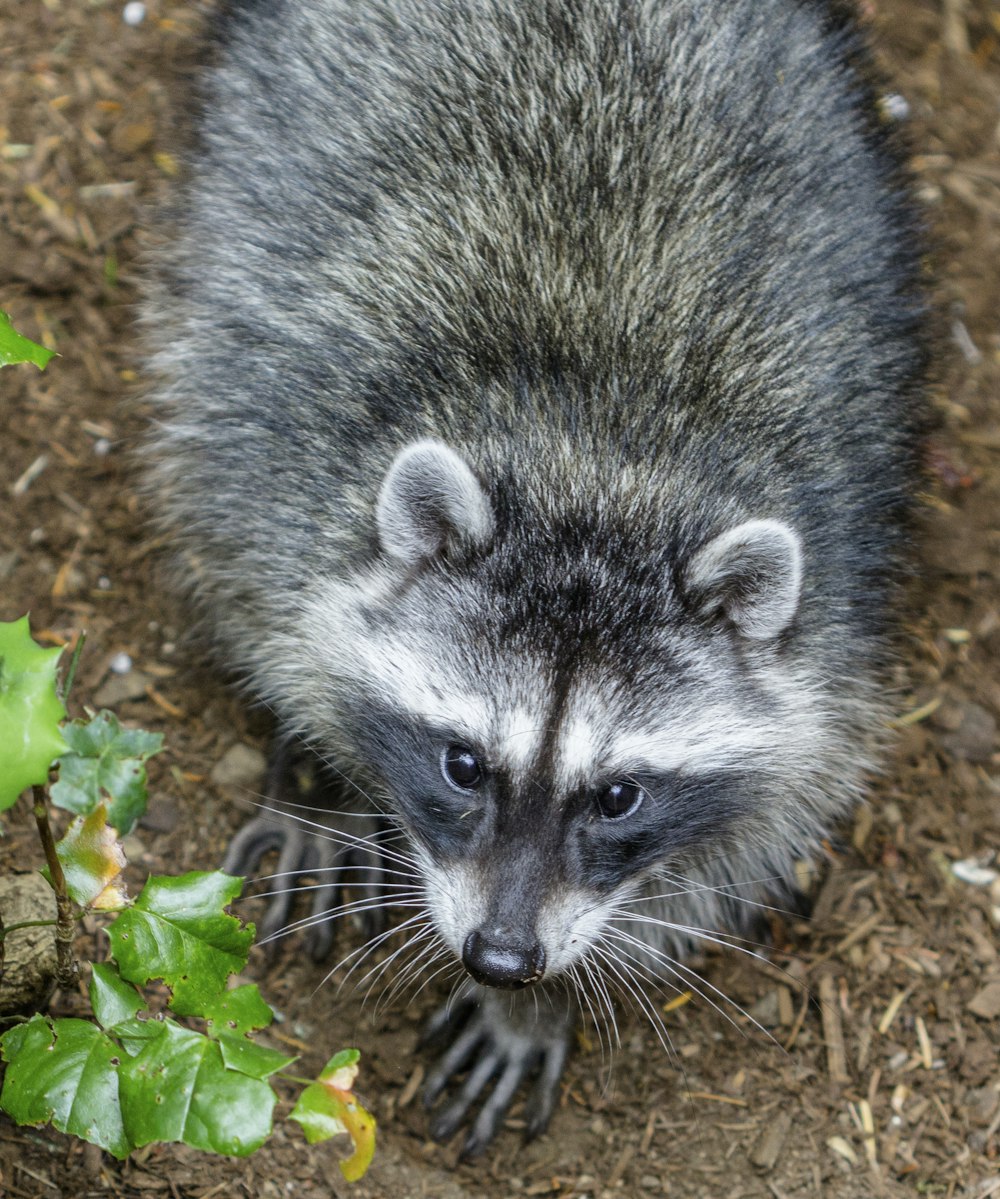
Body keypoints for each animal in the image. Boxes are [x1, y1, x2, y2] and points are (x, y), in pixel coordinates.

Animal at [143, 0, 925, 1160]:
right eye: (464, 763)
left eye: (617, 794)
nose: (504, 956)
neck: (597, 464)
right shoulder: (277, 440)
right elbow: (266, 602)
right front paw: (316, 771)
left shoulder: (835, 626)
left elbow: (750, 832)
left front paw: (548, 996)